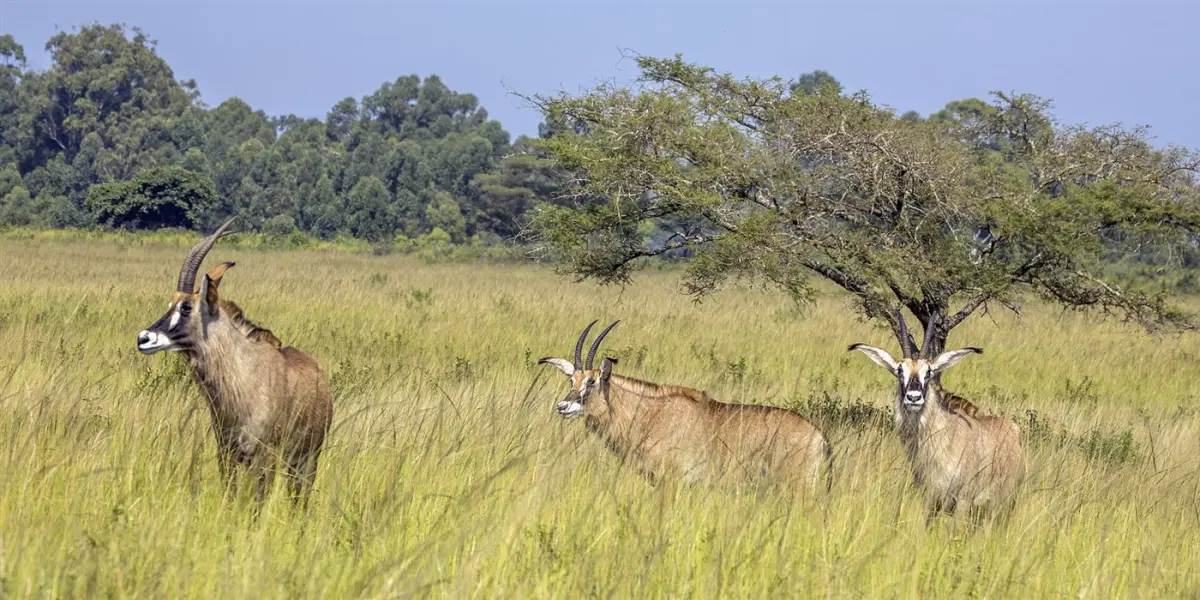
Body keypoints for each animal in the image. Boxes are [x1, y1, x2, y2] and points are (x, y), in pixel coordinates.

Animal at [136, 218, 333, 505]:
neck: (241, 377)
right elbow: (229, 495)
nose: (143, 338)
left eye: (186, 307)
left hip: (307, 459)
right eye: (171, 303)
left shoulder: (262, 457)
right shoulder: (226, 453)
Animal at [538, 321, 832, 492]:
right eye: (572, 379)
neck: (649, 414)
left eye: (592, 381)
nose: (563, 406)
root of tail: (820, 437)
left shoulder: (672, 483)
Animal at [848, 309, 1025, 522]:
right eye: (899, 370)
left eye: (929, 371)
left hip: (1002, 507)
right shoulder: (930, 500)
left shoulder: (963, 501)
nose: (913, 397)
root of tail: (1012, 430)